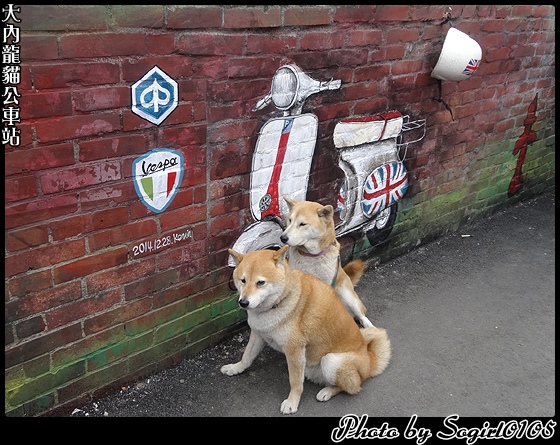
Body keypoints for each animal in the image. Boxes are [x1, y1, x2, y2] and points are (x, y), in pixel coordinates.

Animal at [222, 245, 391, 414]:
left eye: (260, 282)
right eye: (243, 280)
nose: (243, 302)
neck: (281, 300)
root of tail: (370, 361)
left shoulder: (294, 349)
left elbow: (295, 382)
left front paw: (292, 402)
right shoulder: (259, 334)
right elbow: (246, 357)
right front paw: (235, 368)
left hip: (330, 360)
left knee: (352, 386)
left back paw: (327, 391)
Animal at [280, 196, 374, 328]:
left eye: (302, 224)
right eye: (290, 220)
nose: (283, 238)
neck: (311, 256)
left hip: (347, 295)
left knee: (361, 315)